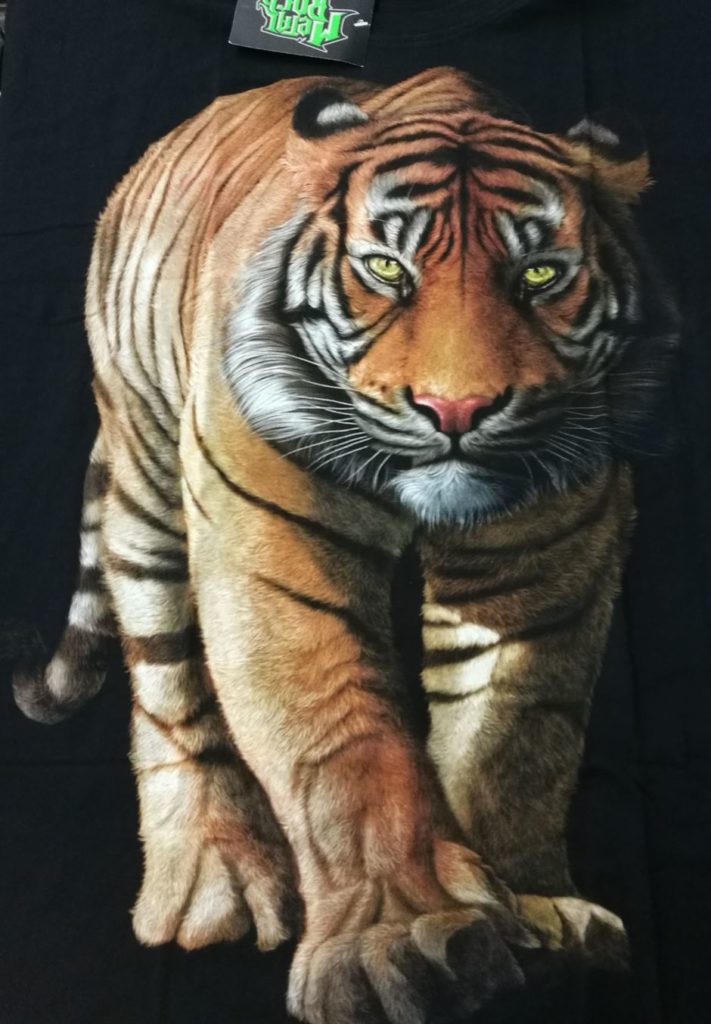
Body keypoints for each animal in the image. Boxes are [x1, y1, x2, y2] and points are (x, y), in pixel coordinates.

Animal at [12, 67, 678, 1024]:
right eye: (386, 270)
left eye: (541, 273)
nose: (456, 410)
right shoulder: (274, 538)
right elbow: (342, 747)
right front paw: (397, 938)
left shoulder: (549, 557)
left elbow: (512, 736)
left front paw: (535, 909)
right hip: (142, 463)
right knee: (167, 679)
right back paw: (209, 887)